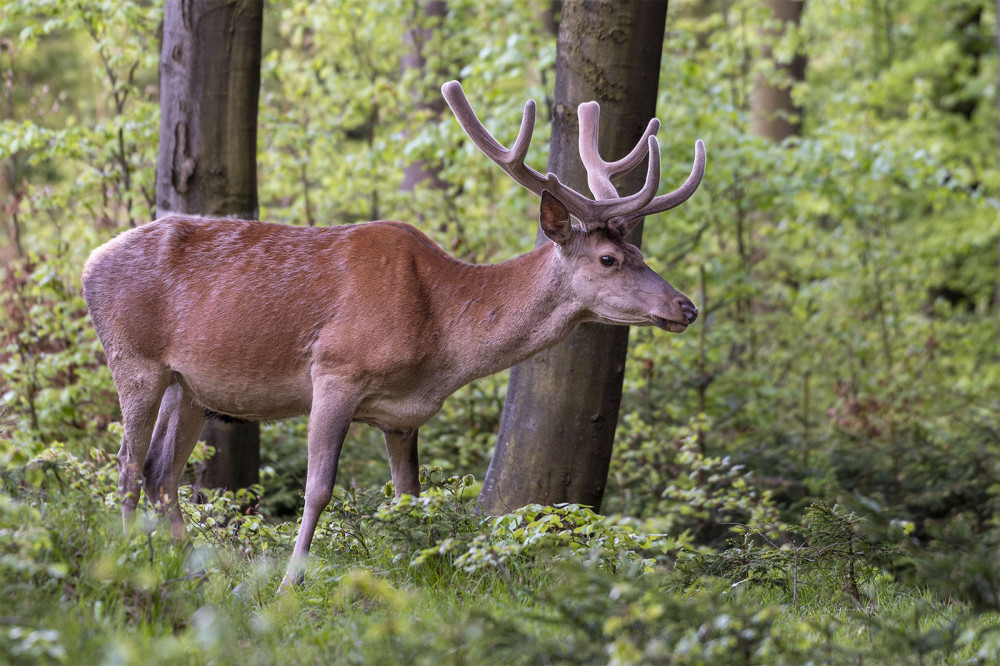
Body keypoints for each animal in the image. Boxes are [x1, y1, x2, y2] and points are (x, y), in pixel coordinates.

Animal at [84, 80, 704, 588]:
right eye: (607, 259)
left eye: (640, 253)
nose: (686, 306)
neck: (440, 338)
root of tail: (88, 262)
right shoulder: (336, 370)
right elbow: (319, 488)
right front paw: (289, 584)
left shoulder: (402, 416)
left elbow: (410, 498)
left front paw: (417, 577)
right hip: (133, 359)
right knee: (127, 465)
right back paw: (131, 562)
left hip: (189, 385)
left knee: (161, 470)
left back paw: (191, 569)